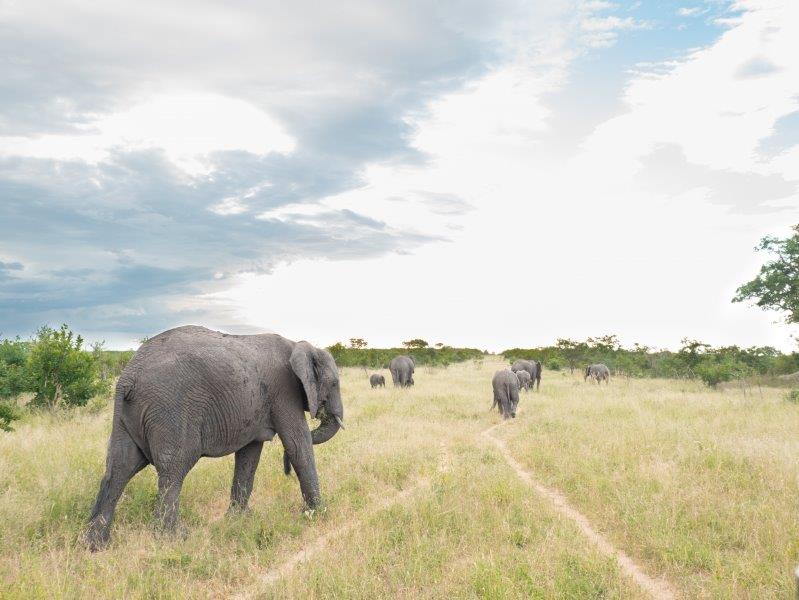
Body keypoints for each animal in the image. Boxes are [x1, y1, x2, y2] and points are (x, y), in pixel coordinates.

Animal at [84, 326, 344, 552]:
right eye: (334, 383)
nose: (285, 470)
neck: (299, 344)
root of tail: (128, 377)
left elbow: (249, 456)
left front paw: (238, 519)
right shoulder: (284, 391)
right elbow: (298, 444)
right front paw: (317, 514)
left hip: (127, 415)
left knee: (118, 469)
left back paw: (95, 545)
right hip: (170, 410)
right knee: (173, 470)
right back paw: (173, 538)